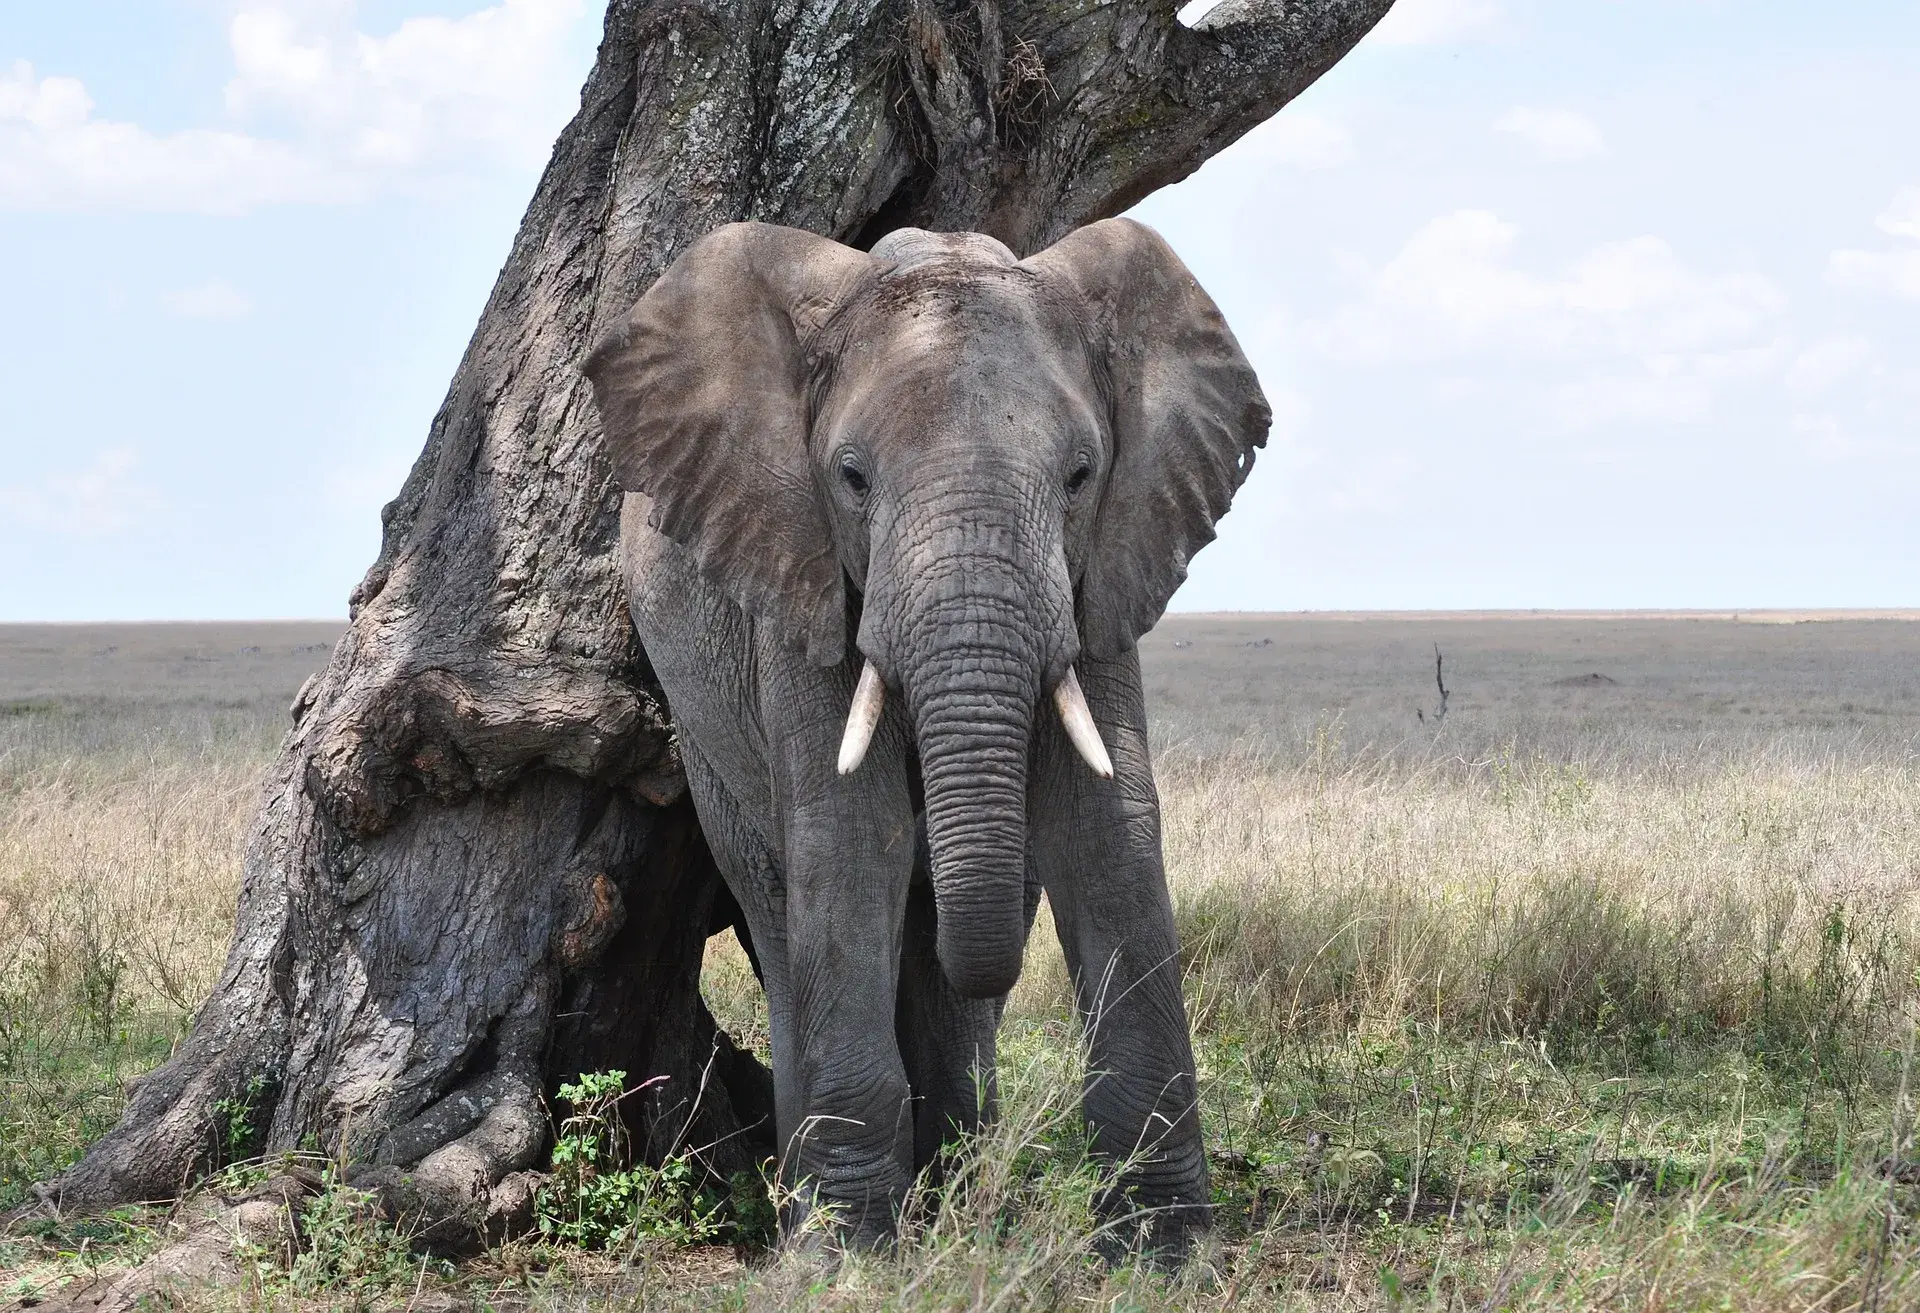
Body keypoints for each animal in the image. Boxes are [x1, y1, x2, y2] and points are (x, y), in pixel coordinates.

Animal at [583, 214, 1274, 1251]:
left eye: (1081, 476)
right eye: (851, 478)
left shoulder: (1104, 574)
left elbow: (1108, 833)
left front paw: (1167, 1251)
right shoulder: (799, 578)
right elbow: (848, 840)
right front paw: (846, 1256)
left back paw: (952, 1197)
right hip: (705, 734)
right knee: (779, 904)